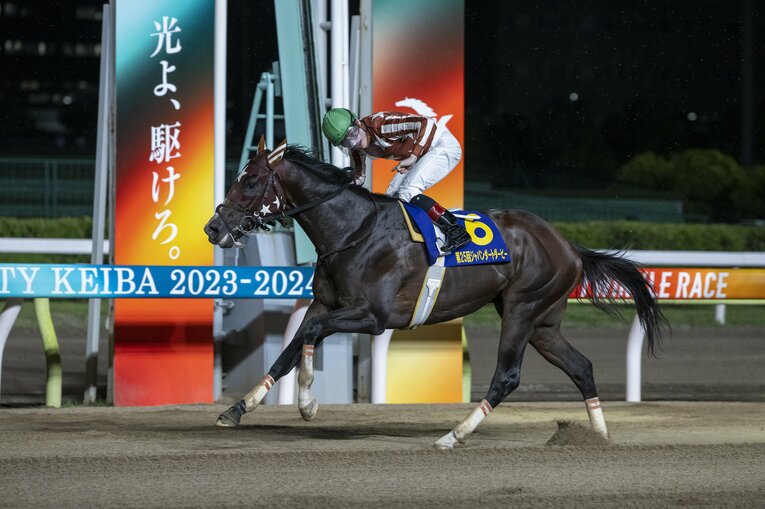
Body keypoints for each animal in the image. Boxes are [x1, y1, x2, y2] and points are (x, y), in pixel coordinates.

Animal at [203, 139, 665, 449]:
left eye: (251, 182)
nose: (213, 228)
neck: (352, 232)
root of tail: (569, 245)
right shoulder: (325, 303)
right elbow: (290, 348)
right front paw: (237, 408)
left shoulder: (372, 316)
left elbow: (311, 336)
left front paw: (307, 404)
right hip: (543, 323)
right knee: (581, 366)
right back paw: (600, 436)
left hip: (523, 309)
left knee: (507, 376)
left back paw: (453, 434)